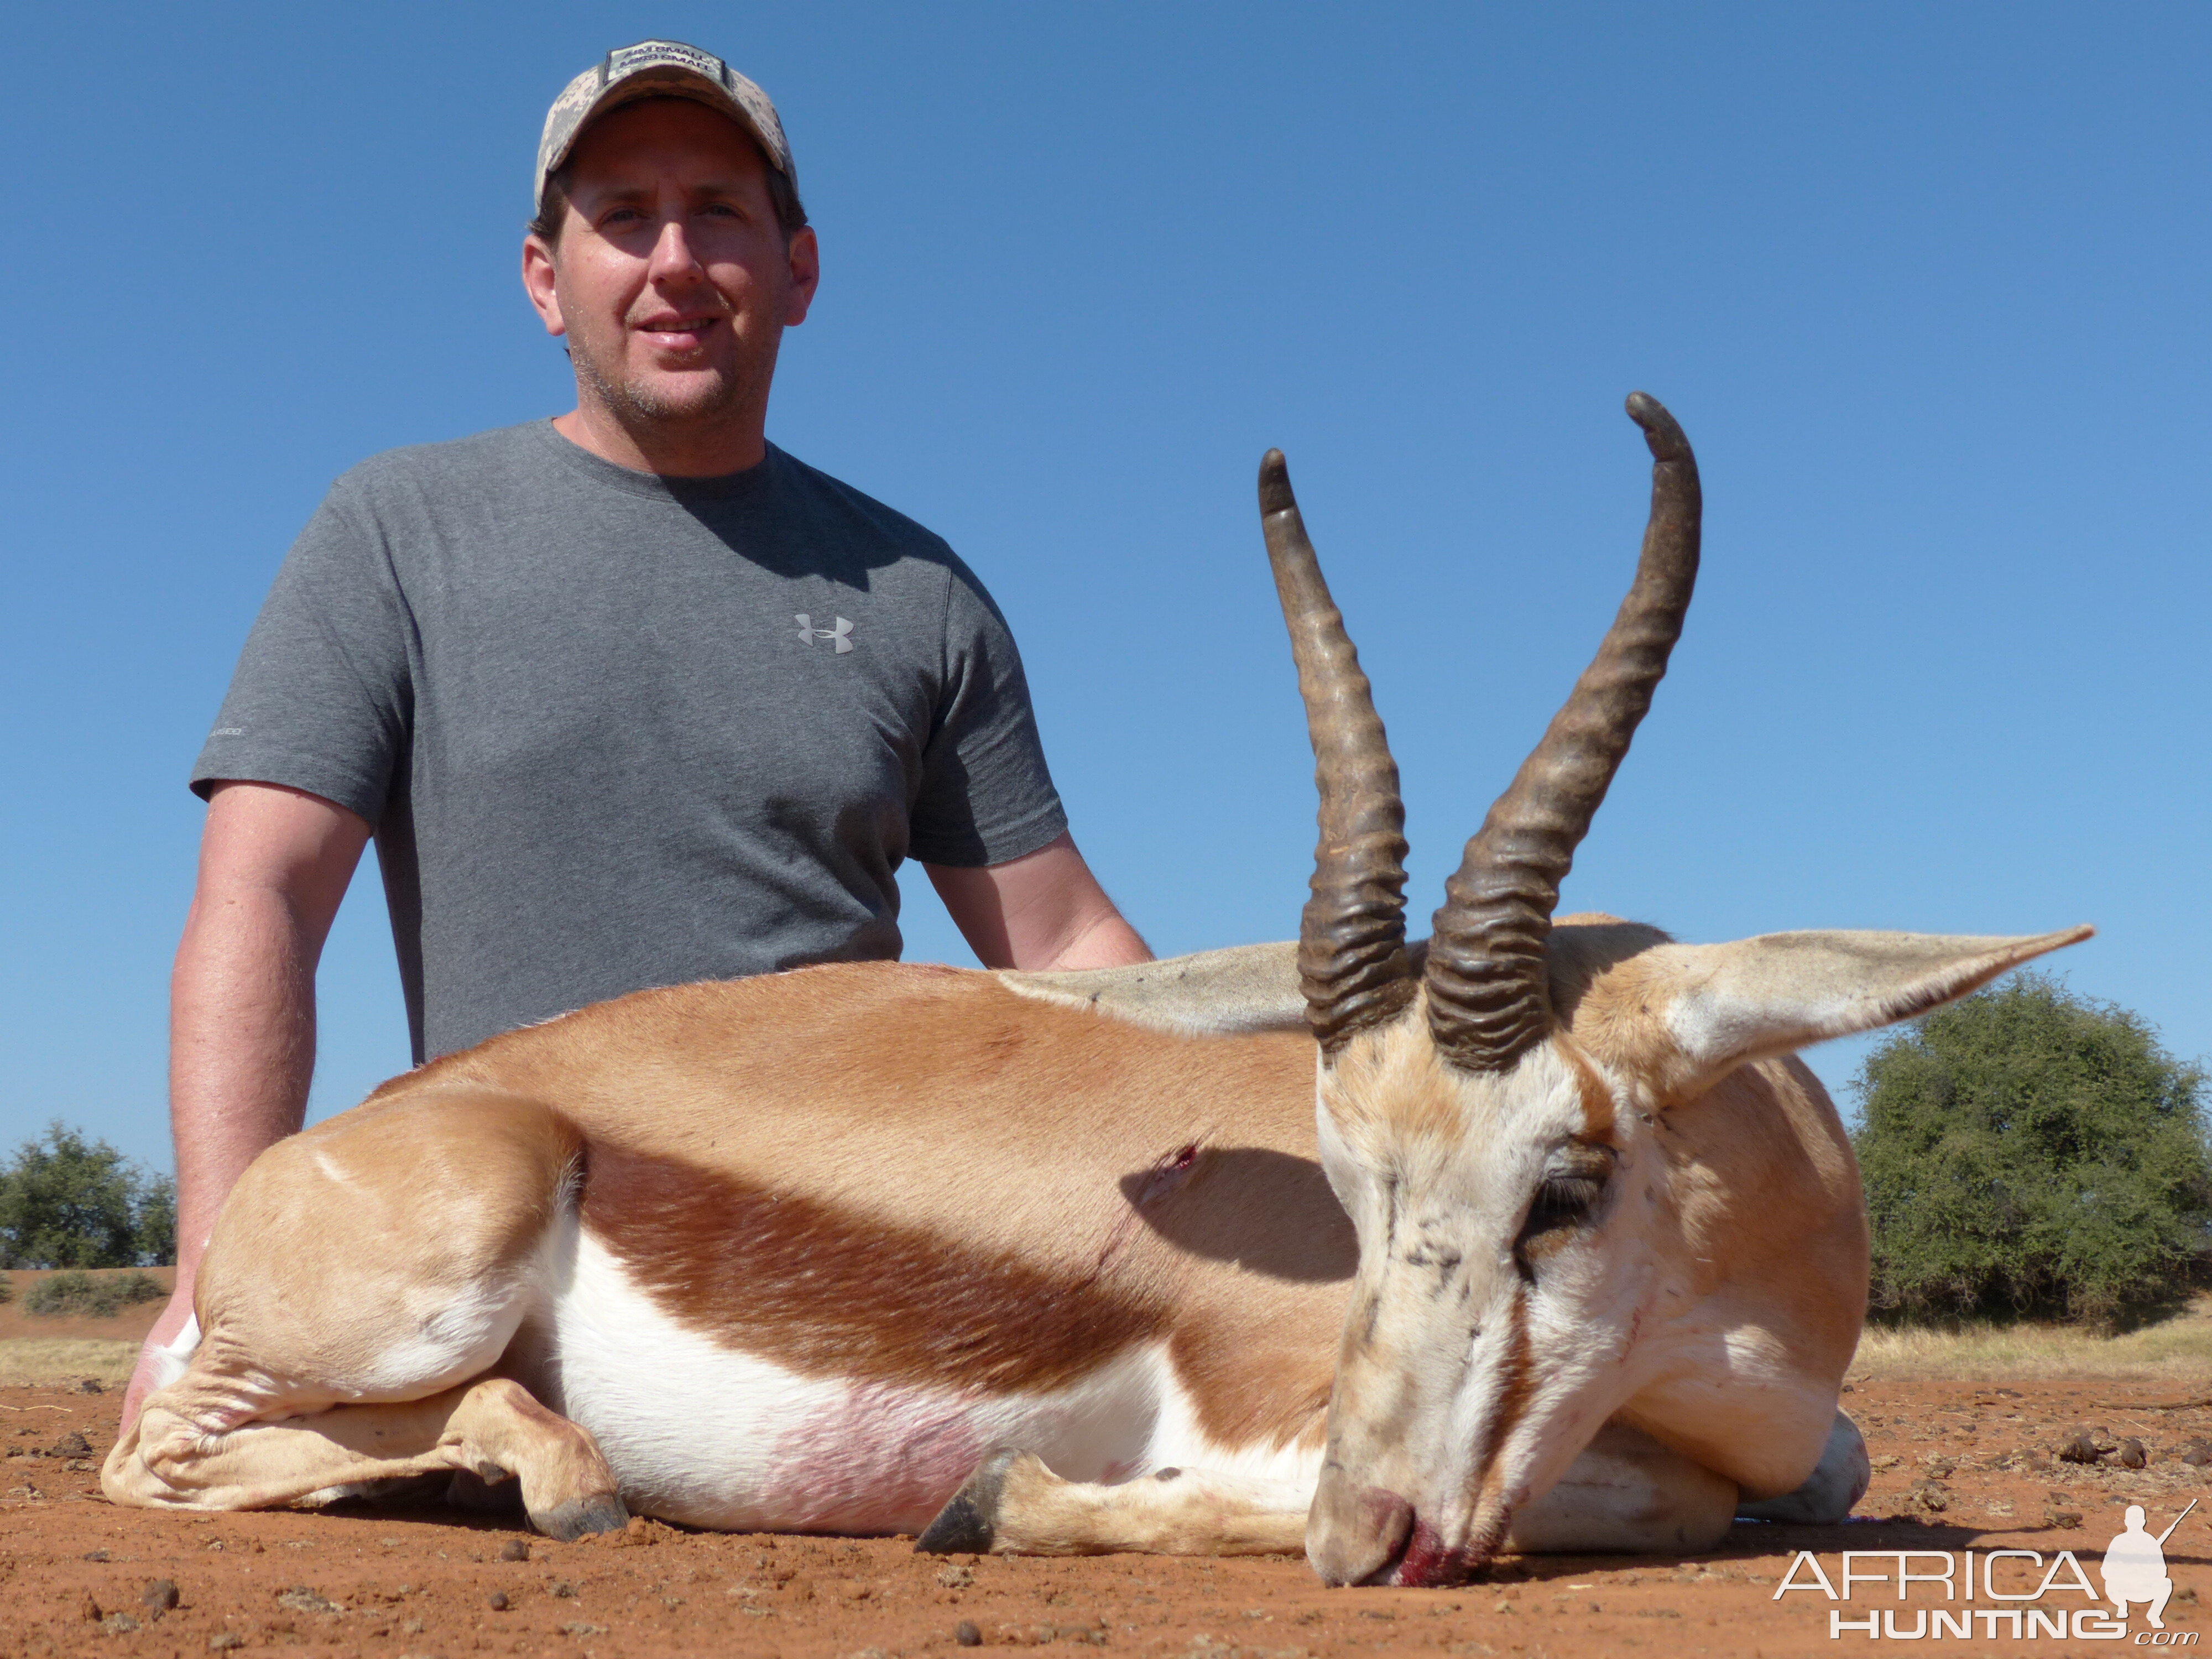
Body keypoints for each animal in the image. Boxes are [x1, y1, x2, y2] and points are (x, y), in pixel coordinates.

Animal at [104, 396, 2079, 1593]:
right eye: (1341, 1190)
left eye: (1565, 1189)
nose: (1372, 1535)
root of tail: (363, 1130)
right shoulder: (1272, 1413)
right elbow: (1655, 1494)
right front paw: (1006, 1501)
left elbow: (1808, 1475)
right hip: (426, 1274)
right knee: (162, 1457)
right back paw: (541, 1476)